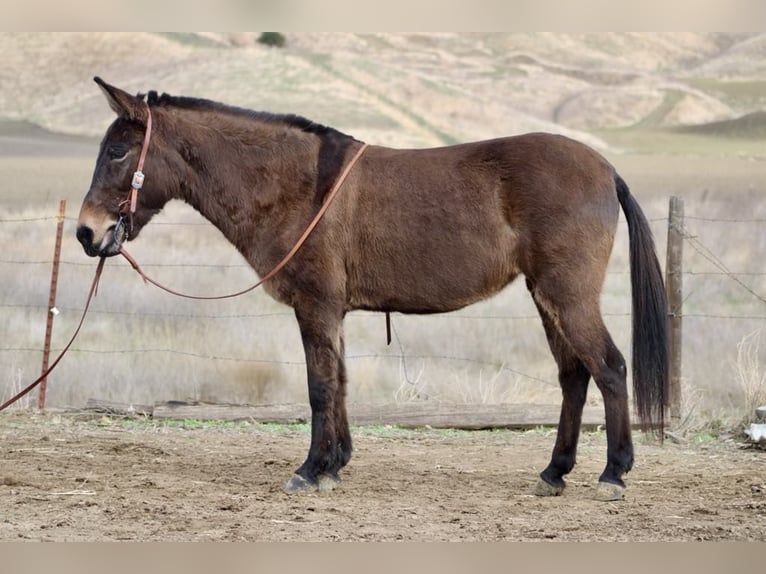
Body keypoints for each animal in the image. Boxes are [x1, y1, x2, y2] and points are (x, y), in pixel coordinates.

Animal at [77, 77, 668, 501]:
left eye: (118, 153)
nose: (87, 232)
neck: (298, 187)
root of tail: (605, 168)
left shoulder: (315, 306)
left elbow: (319, 387)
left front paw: (310, 469)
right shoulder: (332, 312)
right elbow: (338, 382)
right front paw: (335, 464)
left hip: (568, 297)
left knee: (610, 368)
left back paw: (613, 473)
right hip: (548, 299)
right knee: (574, 377)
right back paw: (554, 472)